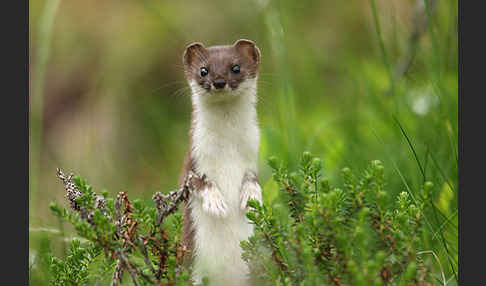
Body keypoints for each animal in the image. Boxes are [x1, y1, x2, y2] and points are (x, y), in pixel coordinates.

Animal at [178, 39, 262, 284]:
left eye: (236, 67)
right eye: (203, 70)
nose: (218, 82)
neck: (227, 151)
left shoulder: (252, 151)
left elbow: (253, 178)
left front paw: (251, 195)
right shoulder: (194, 156)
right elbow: (196, 181)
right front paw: (215, 202)